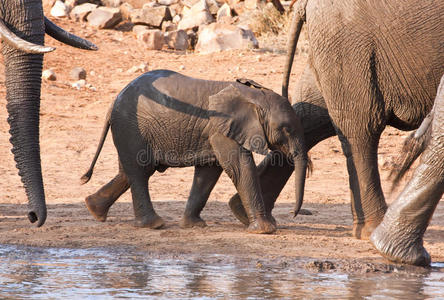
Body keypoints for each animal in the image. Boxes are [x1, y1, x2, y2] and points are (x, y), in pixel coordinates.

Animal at [80, 69, 308, 233]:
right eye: (286, 129)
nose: (294, 214)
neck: (253, 96)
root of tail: (113, 101)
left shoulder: (214, 132)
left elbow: (208, 173)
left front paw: (194, 225)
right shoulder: (222, 129)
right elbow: (240, 168)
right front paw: (265, 230)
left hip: (130, 131)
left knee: (129, 171)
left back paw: (94, 209)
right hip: (131, 128)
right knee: (139, 172)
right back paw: (154, 225)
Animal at [229, 0, 444, 239]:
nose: (295, 213)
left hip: (334, 48)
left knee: (311, 117)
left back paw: (242, 211)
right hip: (350, 47)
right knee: (361, 130)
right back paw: (372, 230)